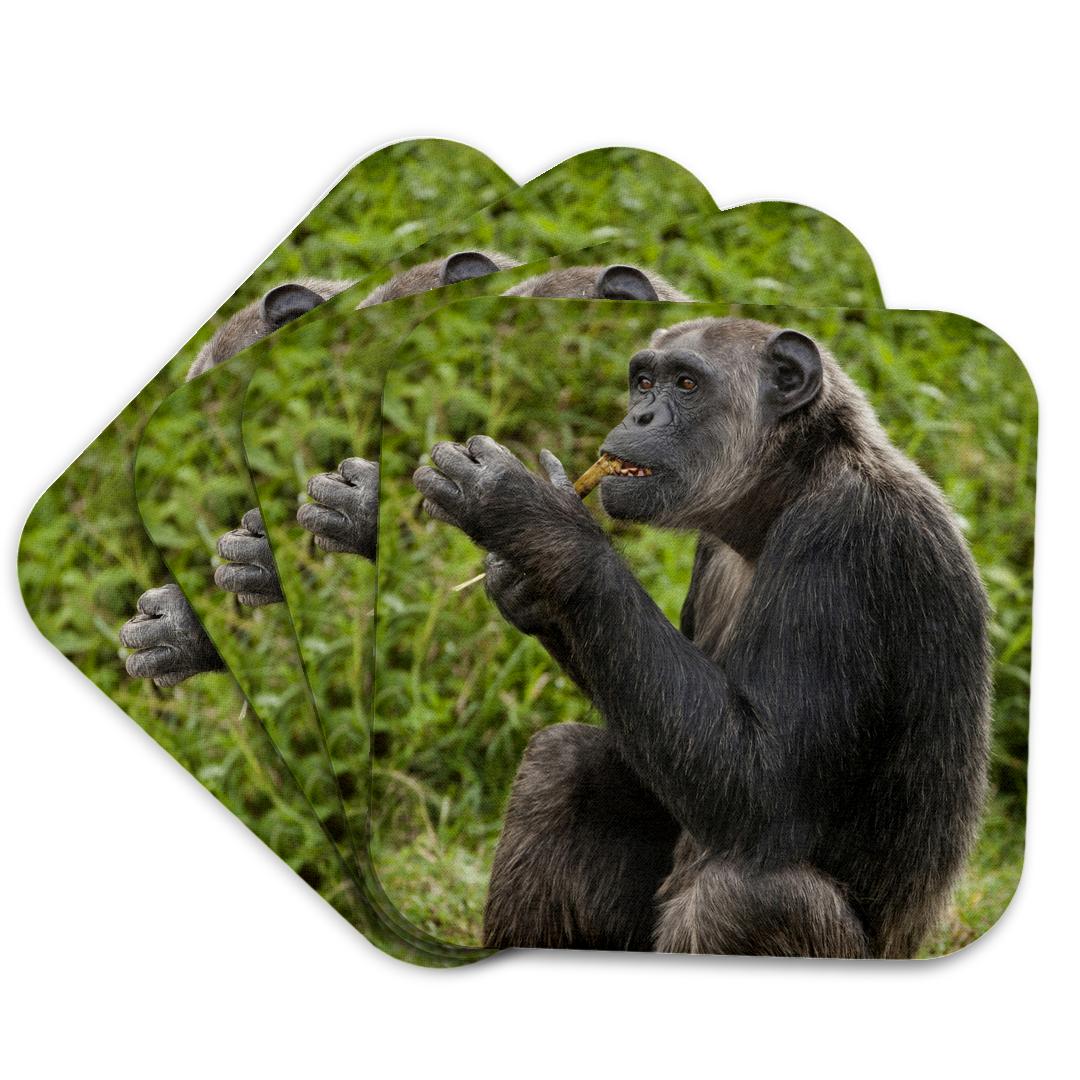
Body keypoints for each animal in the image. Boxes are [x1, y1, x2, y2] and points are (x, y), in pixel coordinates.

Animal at [413, 316, 991, 958]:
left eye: (686, 384)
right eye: (644, 382)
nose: (640, 415)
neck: (784, 490)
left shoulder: (842, 544)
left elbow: (764, 787)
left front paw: (535, 520)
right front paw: (527, 581)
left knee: (746, 899)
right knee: (561, 762)